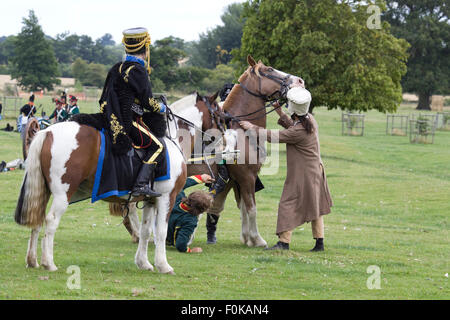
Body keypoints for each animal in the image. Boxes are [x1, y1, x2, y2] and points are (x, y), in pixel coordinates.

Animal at [14, 114, 186, 274]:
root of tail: (48, 131)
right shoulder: (167, 198)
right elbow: (161, 232)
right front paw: (163, 266)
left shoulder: (150, 200)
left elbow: (145, 231)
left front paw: (143, 263)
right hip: (63, 195)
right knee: (51, 221)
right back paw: (48, 263)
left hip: (44, 193)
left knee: (38, 220)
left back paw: (32, 261)